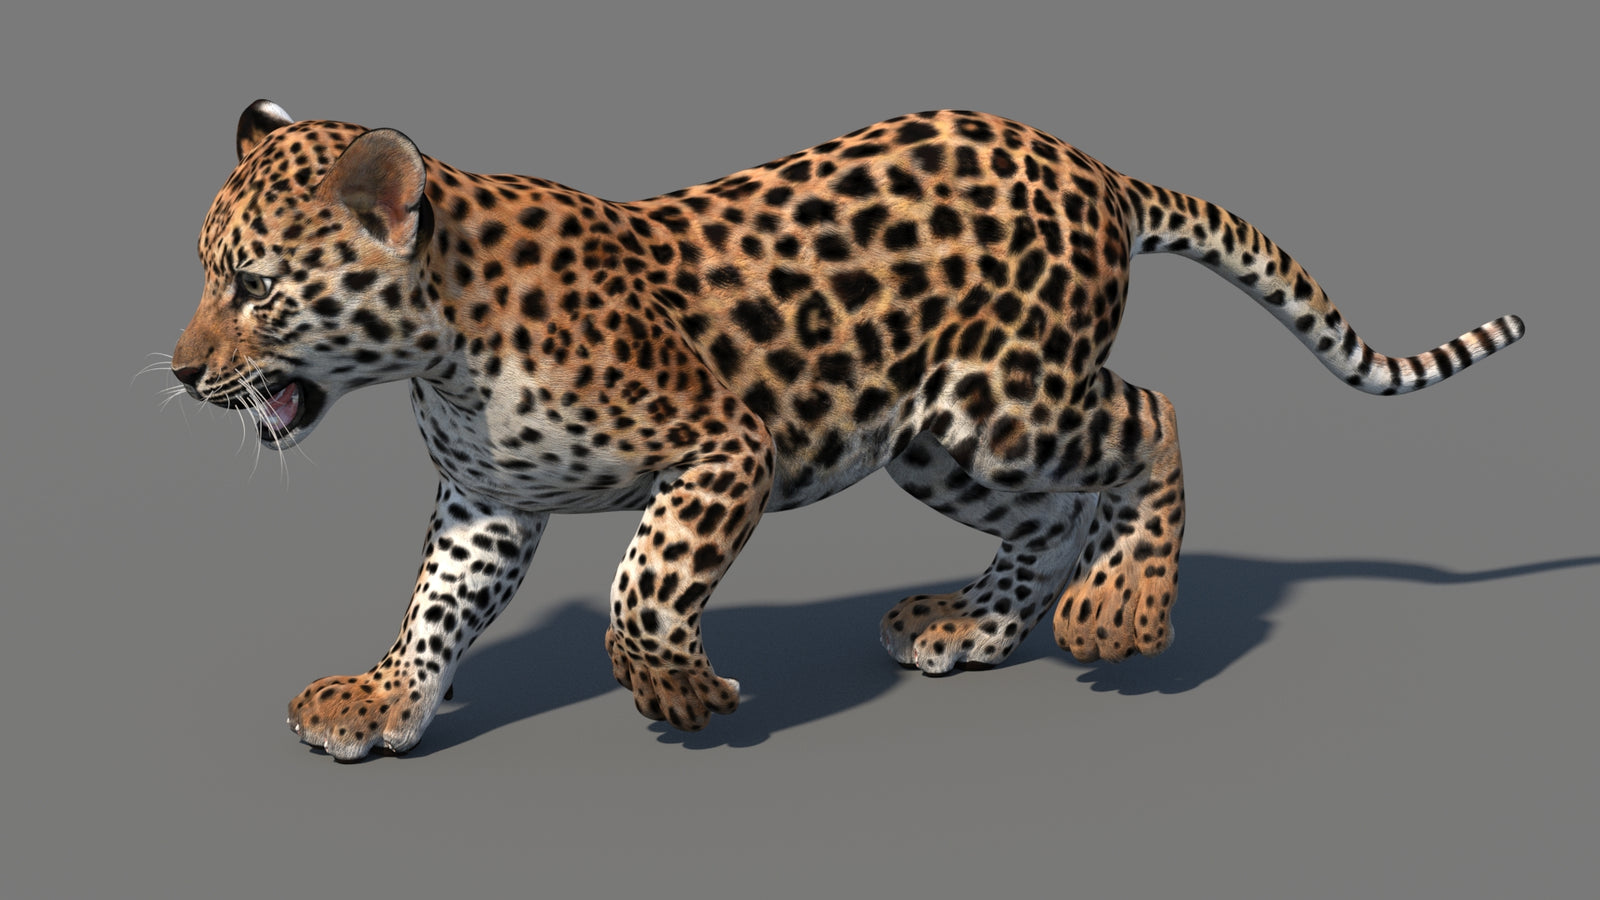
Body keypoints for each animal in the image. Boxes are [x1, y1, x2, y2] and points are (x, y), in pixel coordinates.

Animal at [172, 100, 1525, 760]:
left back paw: (1123, 608)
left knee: (1149, 417)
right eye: (206, 274)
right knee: (1052, 514)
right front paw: (383, 699)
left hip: (1005, 401)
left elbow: (638, 585)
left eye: (254, 286)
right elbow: (437, 605)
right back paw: (971, 625)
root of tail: (1094, 167)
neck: (441, 354)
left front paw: (677, 688)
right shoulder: (489, 503)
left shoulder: (722, 445)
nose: (183, 374)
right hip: (939, 439)